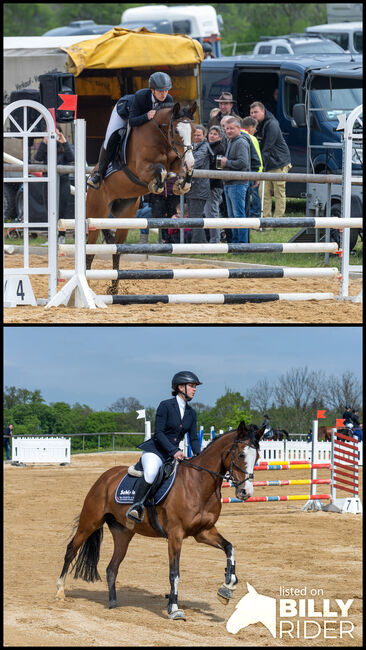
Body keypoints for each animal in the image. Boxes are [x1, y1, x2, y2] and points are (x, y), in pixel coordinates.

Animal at [55, 420, 264, 616]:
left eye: (257, 457)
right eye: (241, 455)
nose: (246, 492)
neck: (198, 484)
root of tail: (105, 476)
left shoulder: (203, 532)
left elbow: (229, 548)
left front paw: (227, 588)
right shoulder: (175, 535)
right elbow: (174, 573)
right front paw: (174, 608)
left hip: (123, 533)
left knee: (111, 567)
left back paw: (113, 602)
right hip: (90, 522)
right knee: (71, 550)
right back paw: (60, 592)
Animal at [86, 101, 197, 294]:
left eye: (194, 130)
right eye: (176, 131)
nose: (189, 159)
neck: (160, 135)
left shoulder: (176, 159)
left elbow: (181, 169)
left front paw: (181, 184)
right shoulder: (142, 168)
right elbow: (161, 169)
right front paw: (157, 185)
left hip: (125, 217)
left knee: (117, 250)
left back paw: (114, 290)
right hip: (96, 215)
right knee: (89, 252)